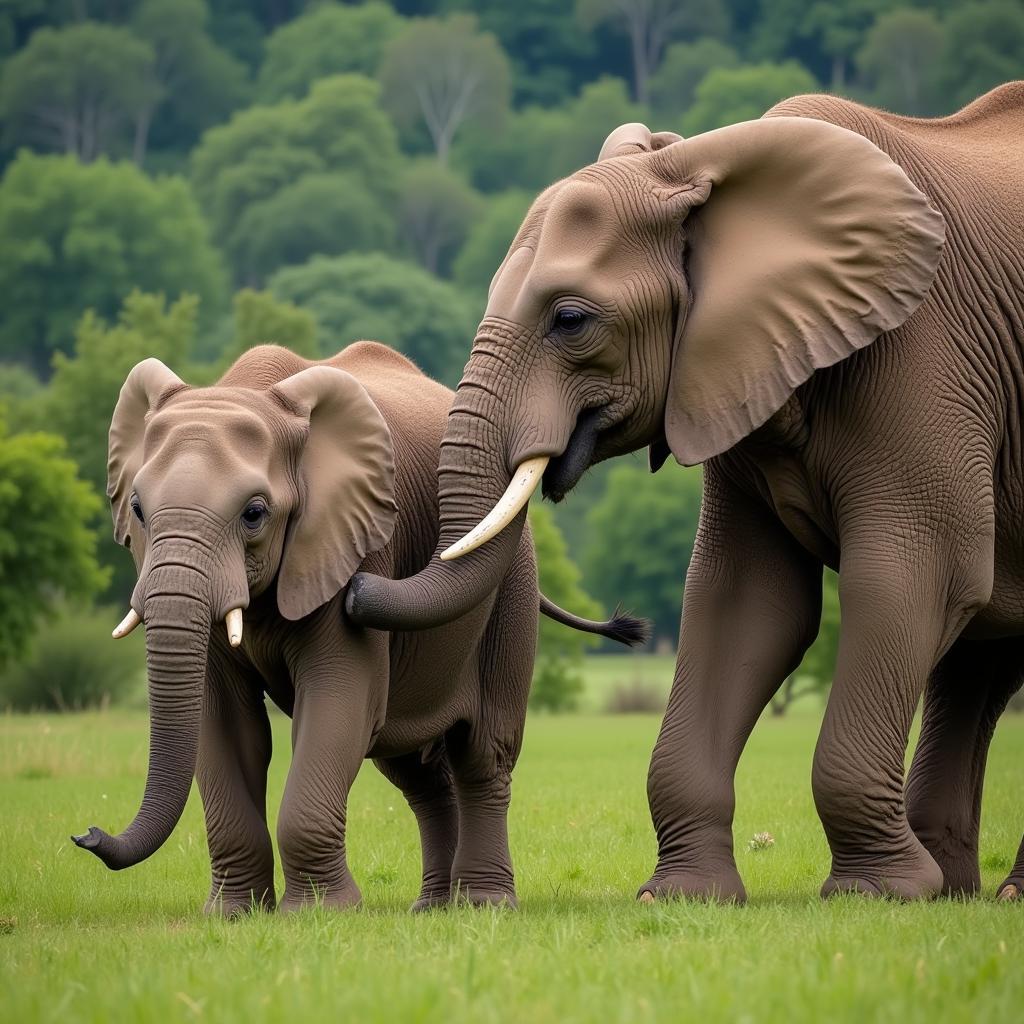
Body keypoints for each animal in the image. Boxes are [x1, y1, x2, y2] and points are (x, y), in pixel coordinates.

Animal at [75, 342, 643, 913]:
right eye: (138, 509)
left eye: (254, 514)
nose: (87, 835)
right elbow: (226, 723)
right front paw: (233, 915)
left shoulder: (357, 537)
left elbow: (338, 701)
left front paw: (317, 913)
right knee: (416, 771)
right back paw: (433, 908)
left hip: (511, 585)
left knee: (483, 754)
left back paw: (483, 905)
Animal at [350, 86, 1024, 905]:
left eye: (570, 319)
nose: (354, 588)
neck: (709, 166)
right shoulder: (738, 373)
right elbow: (746, 601)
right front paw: (681, 896)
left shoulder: (921, 356)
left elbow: (910, 579)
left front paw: (876, 894)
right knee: (981, 660)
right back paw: (962, 889)